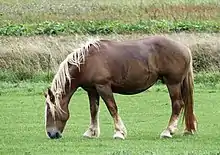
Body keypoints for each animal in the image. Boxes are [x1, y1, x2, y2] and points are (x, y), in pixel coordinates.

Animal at [43, 35, 197, 140]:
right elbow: (93, 110)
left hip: (173, 83)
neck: (86, 62)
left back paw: (168, 131)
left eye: (50, 111)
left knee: (177, 104)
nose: (51, 133)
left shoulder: (103, 87)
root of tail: (184, 48)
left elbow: (112, 108)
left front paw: (119, 132)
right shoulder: (92, 90)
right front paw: (91, 132)